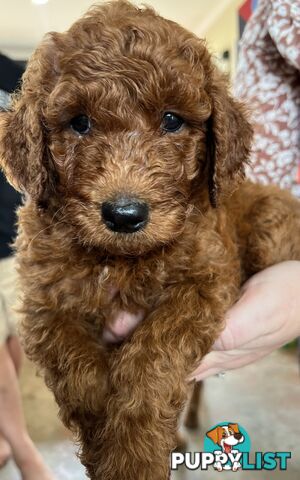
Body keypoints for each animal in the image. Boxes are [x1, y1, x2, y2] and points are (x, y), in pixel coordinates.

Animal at [0, 0, 300, 480]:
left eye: (172, 120)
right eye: (79, 123)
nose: (125, 215)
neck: (121, 259)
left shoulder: (205, 281)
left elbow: (153, 355)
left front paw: (133, 456)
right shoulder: (44, 301)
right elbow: (75, 365)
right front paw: (101, 433)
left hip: (271, 230)